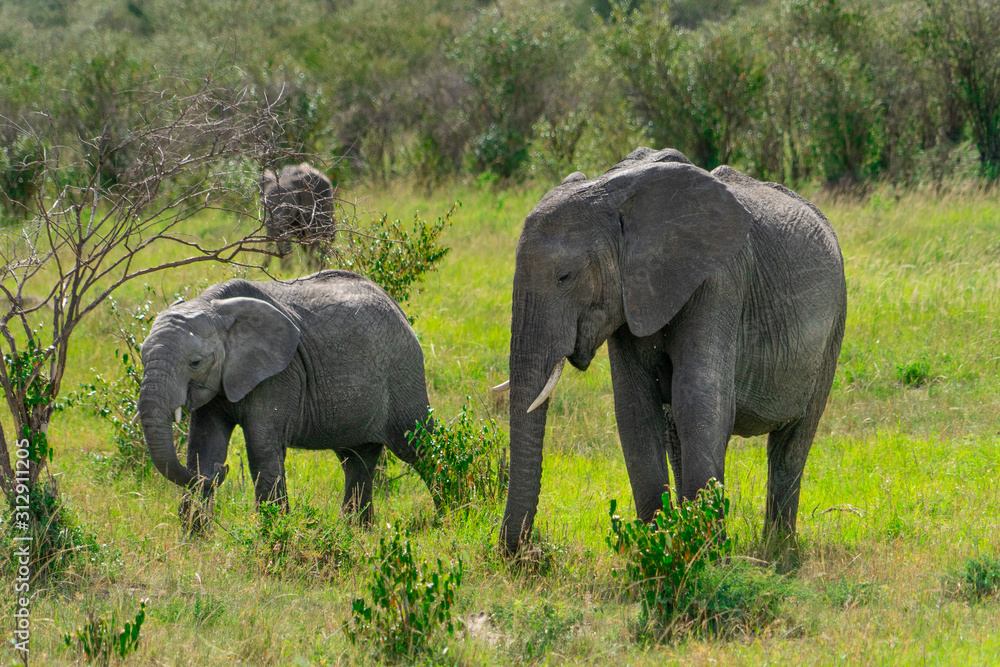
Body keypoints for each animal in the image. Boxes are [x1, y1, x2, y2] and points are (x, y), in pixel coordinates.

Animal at [138, 270, 430, 528]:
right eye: (142, 357)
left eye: (195, 363)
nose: (224, 469)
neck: (214, 305)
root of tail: (395, 305)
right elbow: (203, 448)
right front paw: (194, 538)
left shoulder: (279, 376)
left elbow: (261, 450)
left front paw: (273, 536)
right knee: (357, 460)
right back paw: (357, 532)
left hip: (403, 372)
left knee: (419, 446)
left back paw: (441, 518)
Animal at [498, 147, 844, 564]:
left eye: (564, 277)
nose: (531, 554)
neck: (615, 194)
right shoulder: (628, 295)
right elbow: (634, 408)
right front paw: (656, 550)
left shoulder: (719, 279)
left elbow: (700, 399)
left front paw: (708, 559)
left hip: (832, 331)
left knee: (792, 443)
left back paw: (778, 552)